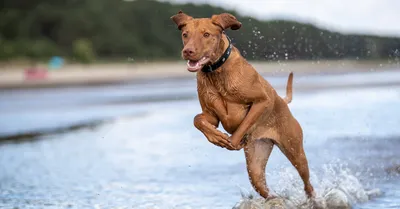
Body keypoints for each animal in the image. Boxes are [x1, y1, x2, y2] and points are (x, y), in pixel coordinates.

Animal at [170, 11, 314, 201]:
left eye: (206, 34)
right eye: (185, 34)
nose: (188, 51)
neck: (216, 72)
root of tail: (283, 101)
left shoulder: (262, 101)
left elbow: (243, 125)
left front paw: (231, 142)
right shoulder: (210, 115)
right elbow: (197, 120)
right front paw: (216, 137)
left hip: (296, 152)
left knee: (308, 184)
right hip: (255, 166)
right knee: (265, 189)